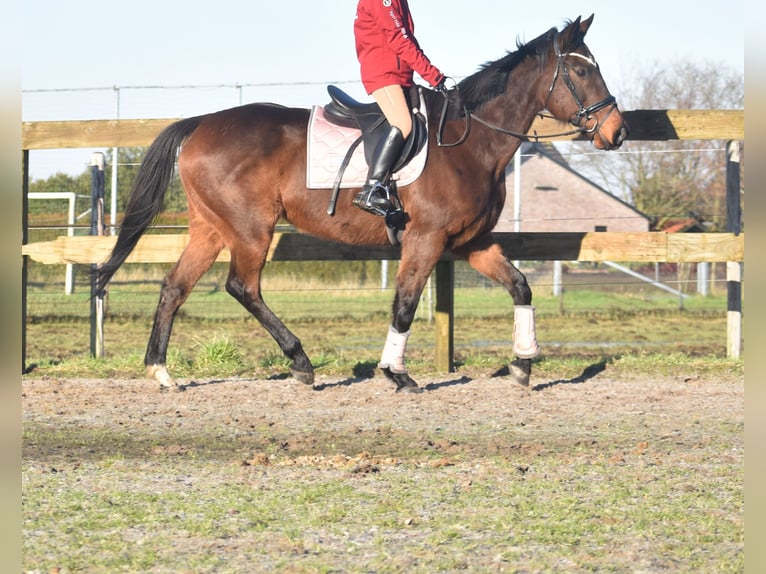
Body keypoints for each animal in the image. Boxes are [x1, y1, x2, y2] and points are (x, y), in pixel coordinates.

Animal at [96, 15, 632, 394]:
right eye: (581, 69)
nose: (617, 132)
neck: (471, 141)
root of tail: (202, 122)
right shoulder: (426, 239)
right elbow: (406, 303)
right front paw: (395, 372)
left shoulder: (470, 241)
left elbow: (520, 285)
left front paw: (522, 364)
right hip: (250, 229)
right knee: (242, 287)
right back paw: (301, 363)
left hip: (211, 228)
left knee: (174, 287)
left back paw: (161, 372)